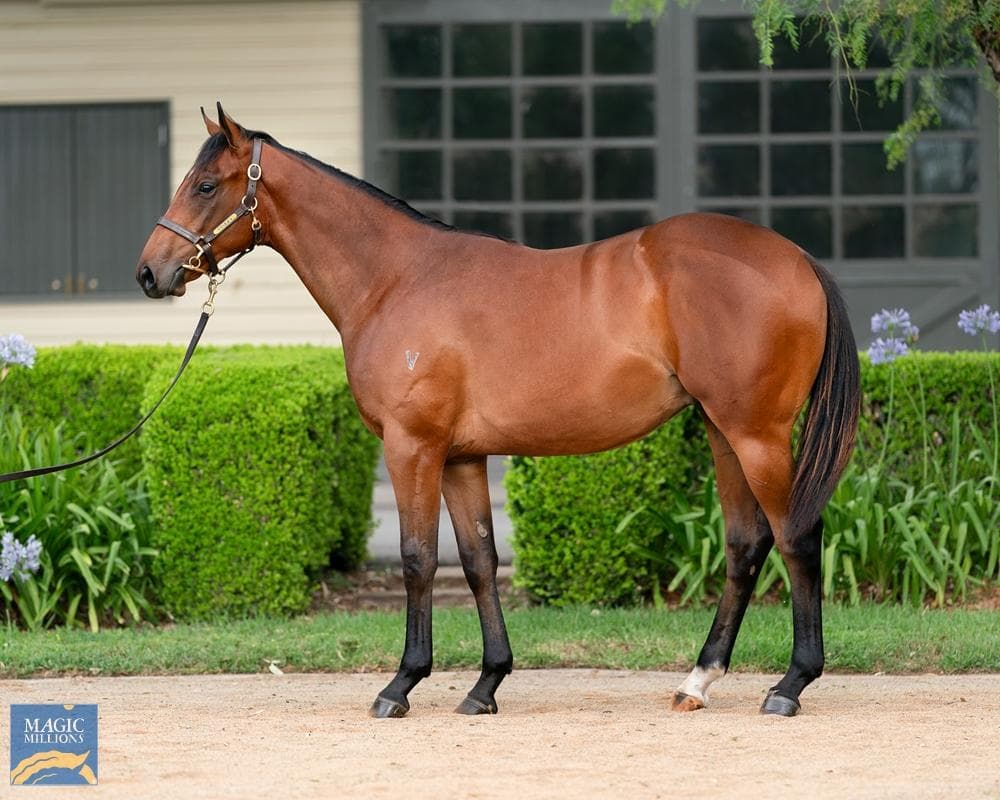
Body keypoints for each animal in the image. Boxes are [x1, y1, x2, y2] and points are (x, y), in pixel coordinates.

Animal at [136, 104, 860, 718]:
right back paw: (698, 681)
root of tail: (796, 258)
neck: (396, 280)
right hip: (722, 430)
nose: (150, 273)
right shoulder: (462, 456)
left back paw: (790, 685)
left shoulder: (412, 447)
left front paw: (401, 685)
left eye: (206, 184)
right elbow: (479, 562)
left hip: (756, 433)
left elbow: (418, 560)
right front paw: (485, 685)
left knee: (797, 537)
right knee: (746, 545)